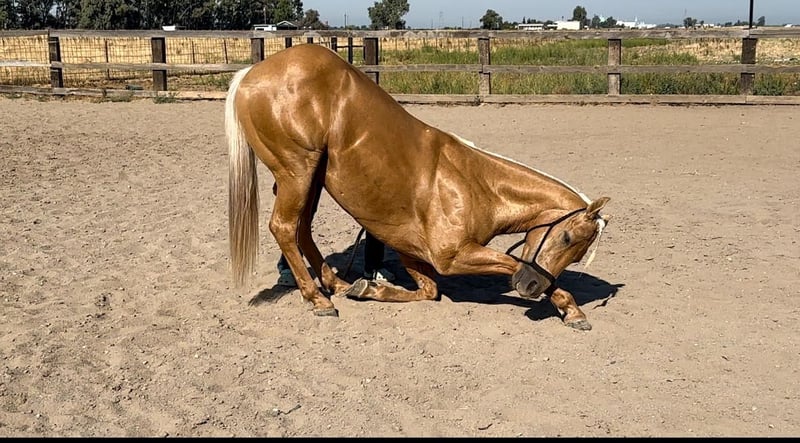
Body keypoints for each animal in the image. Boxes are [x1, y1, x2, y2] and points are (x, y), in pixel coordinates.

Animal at [225, 43, 611, 330]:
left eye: (578, 252)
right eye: (566, 238)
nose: (531, 286)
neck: (477, 185)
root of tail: (251, 74)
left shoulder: (412, 251)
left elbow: (429, 291)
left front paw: (370, 288)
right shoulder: (451, 256)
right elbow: (508, 263)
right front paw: (569, 307)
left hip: (312, 178)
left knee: (302, 228)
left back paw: (336, 284)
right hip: (297, 172)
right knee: (284, 227)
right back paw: (318, 298)